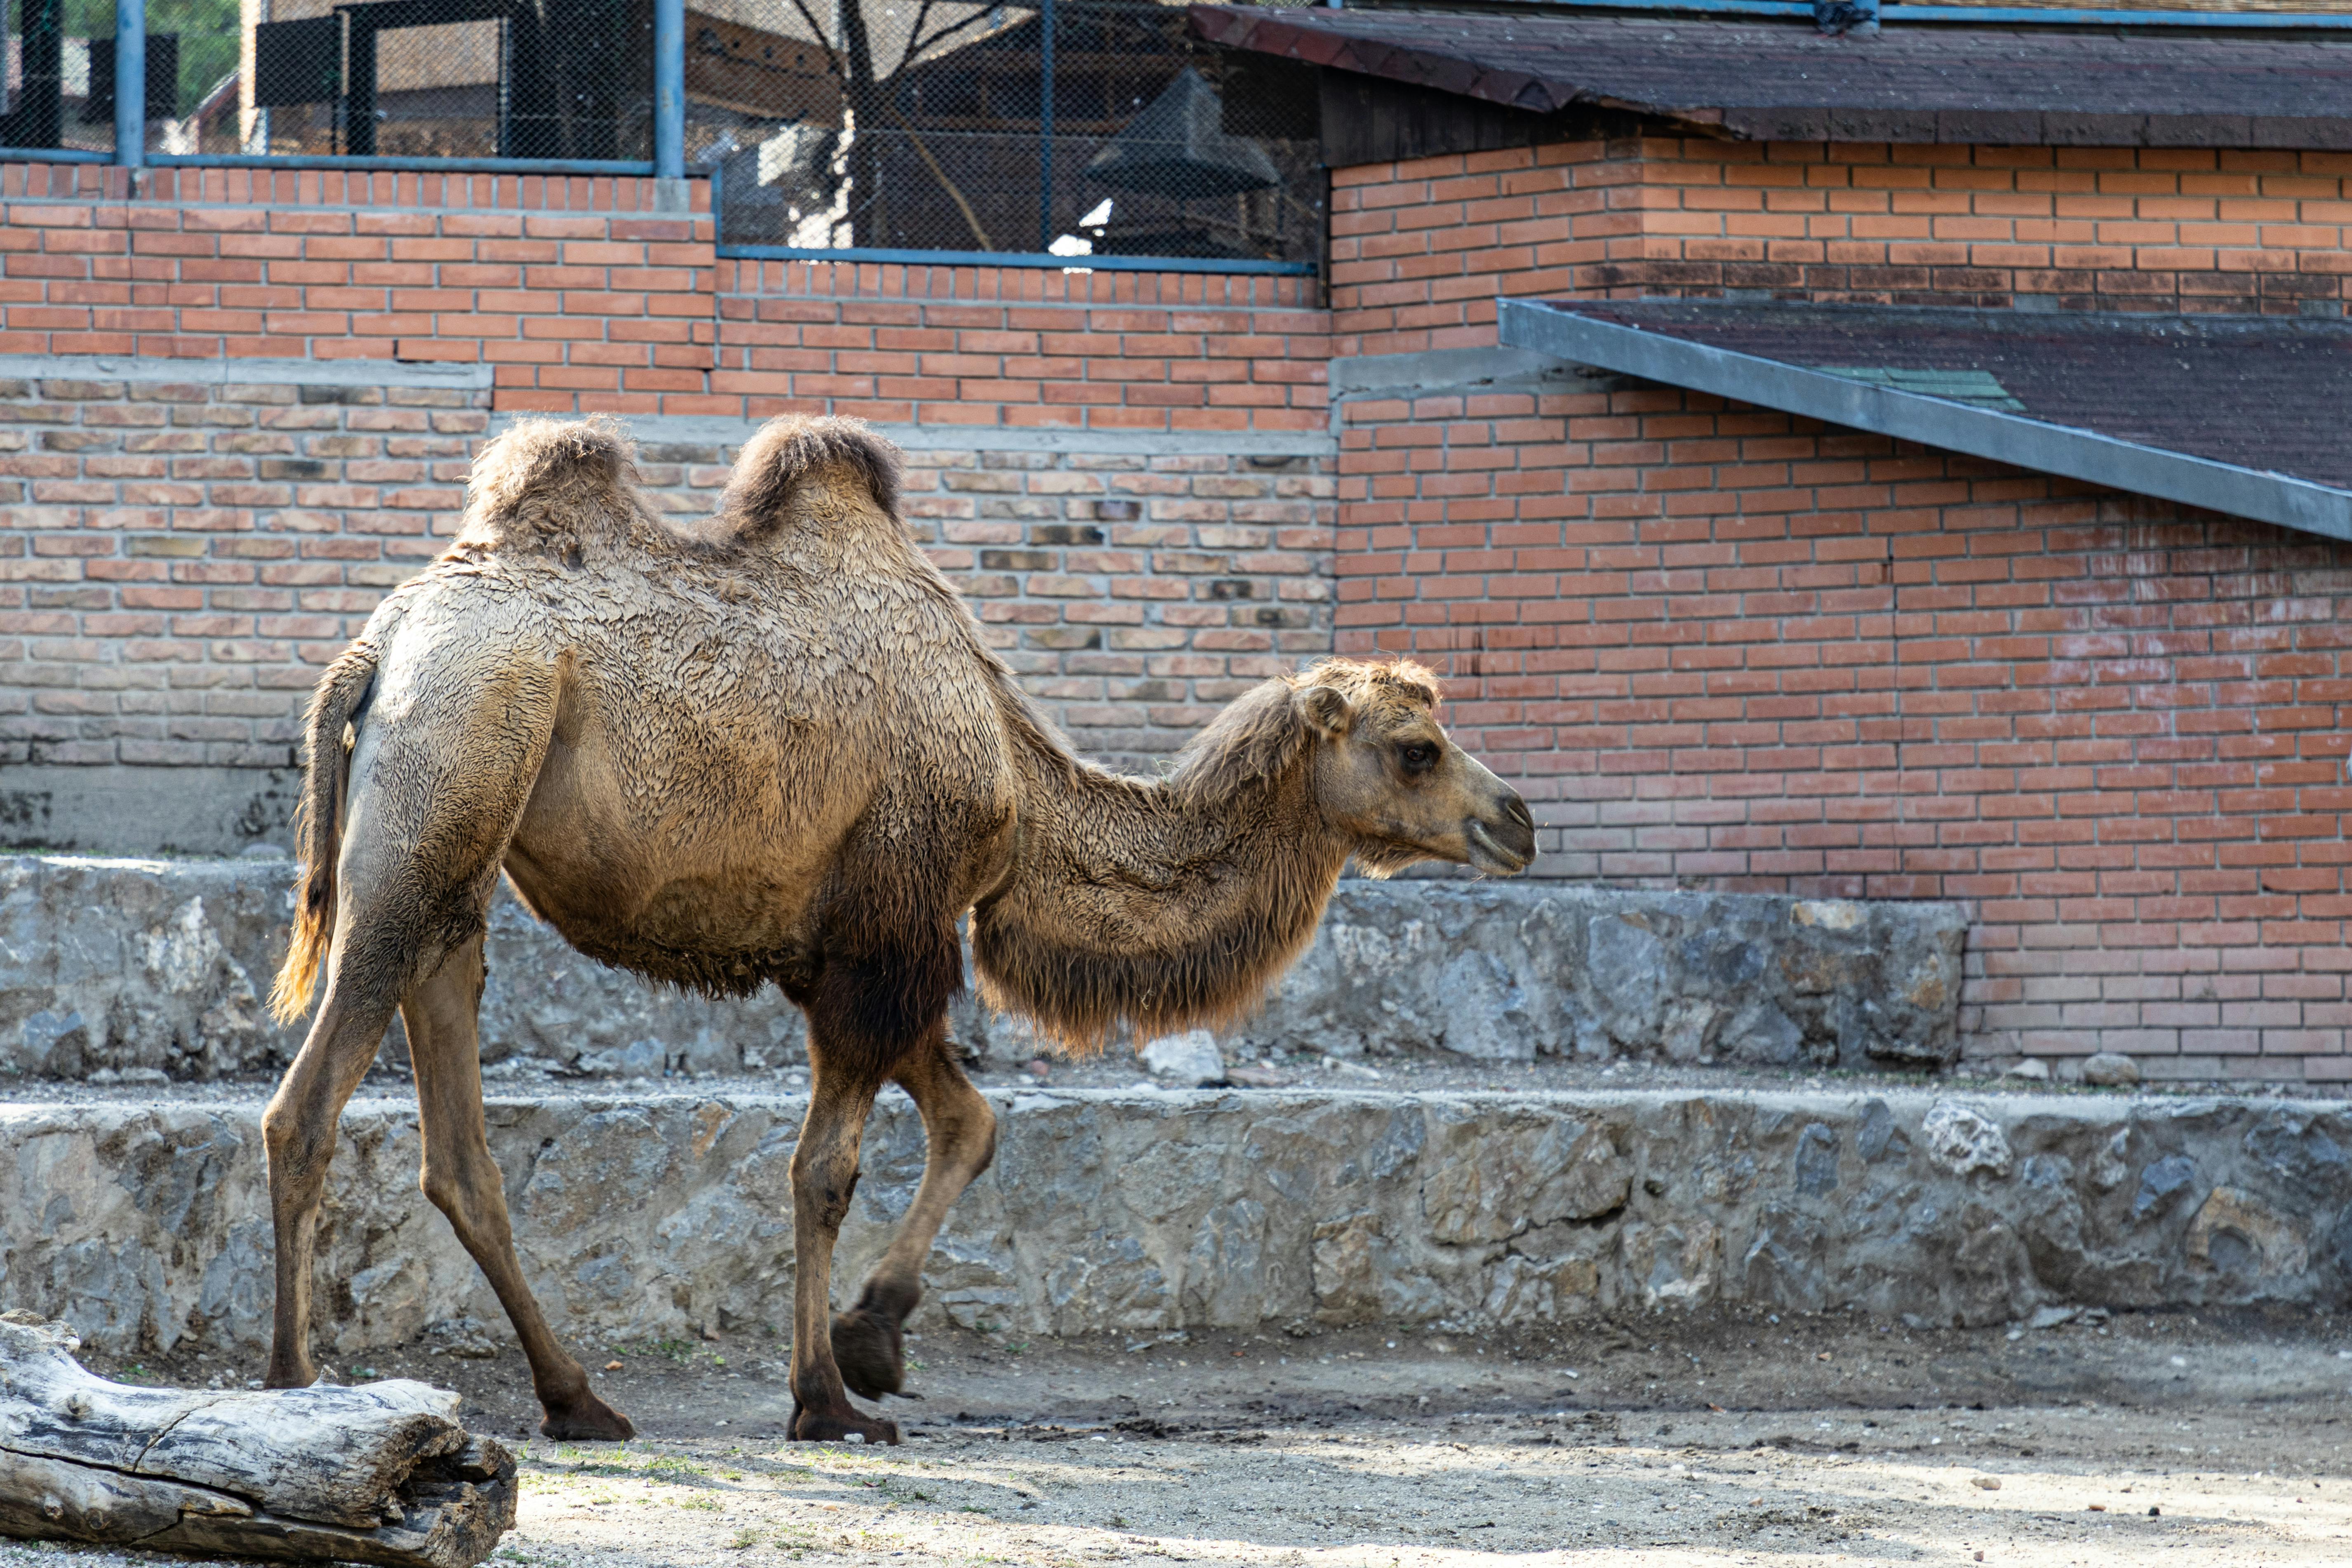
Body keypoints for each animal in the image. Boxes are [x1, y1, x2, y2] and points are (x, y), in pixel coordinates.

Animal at [262, 416, 1543, 1448]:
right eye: (1415, 749)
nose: (1516, 821)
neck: (1017, 779)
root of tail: (377, 647)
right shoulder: (893, 931)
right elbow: (824, 1170)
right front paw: (829, 1397)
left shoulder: (858, 946)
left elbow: (970, 1121)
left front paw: (872, 1338)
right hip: (445, 786)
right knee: (305, 1108)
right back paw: (292, 1383)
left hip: (459, 856)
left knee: (458, 1146)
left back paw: (579, 1400)